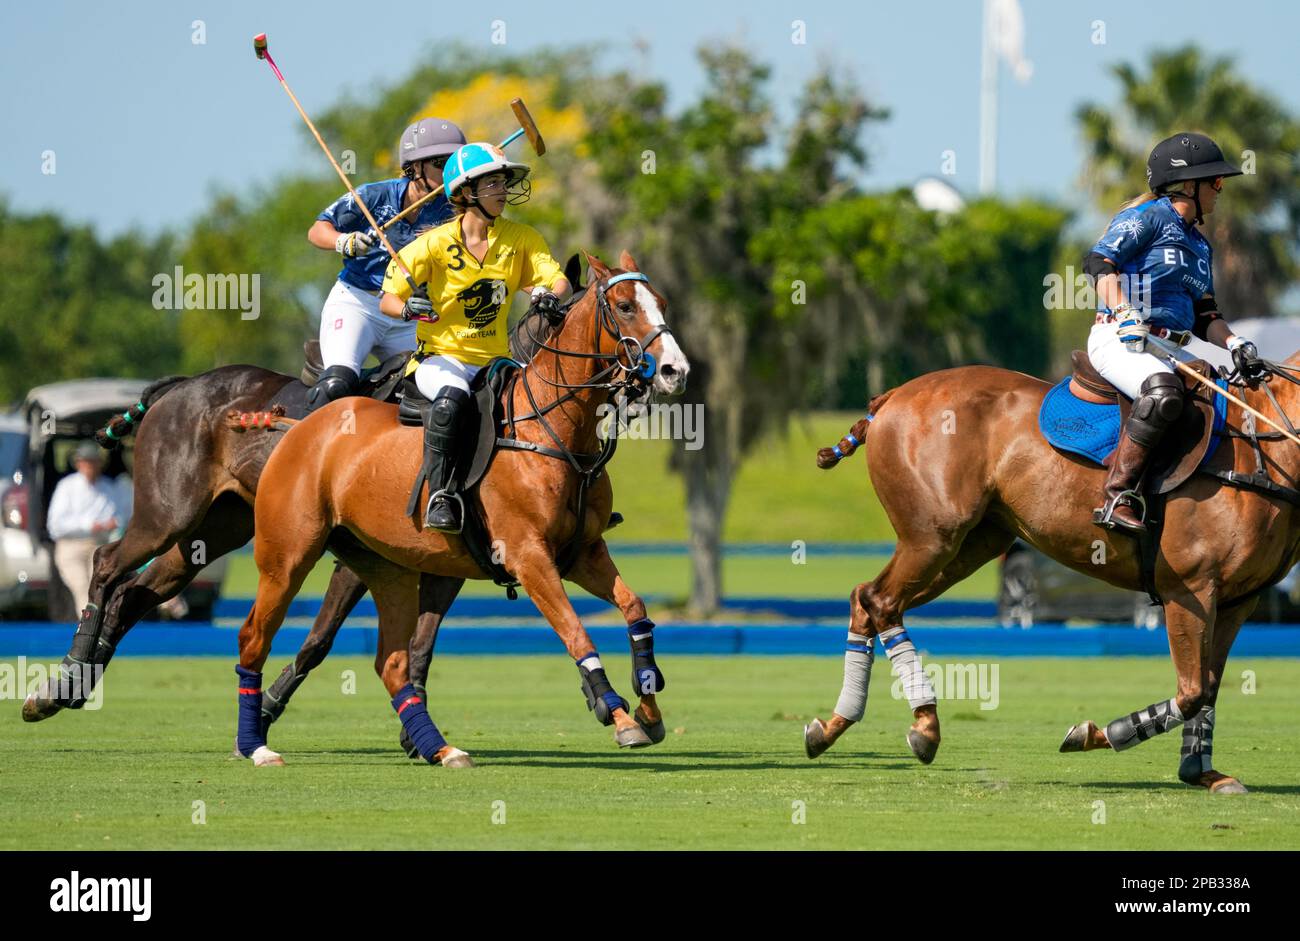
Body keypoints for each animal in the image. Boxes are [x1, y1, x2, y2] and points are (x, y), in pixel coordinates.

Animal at [231, 253, 691, 769]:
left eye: (662, 302)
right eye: (626, 306)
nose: (675, 371)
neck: (551, 428)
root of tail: (298, 425)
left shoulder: (582, 552)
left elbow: (635, 609)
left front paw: (648, 703)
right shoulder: (527, 555)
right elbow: (575, 632)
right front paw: (618, 714)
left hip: (386, 568)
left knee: (391, 660)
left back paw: (437, 746)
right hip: (287, 554)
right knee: (257, 637)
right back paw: (256, 740)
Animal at [800, 356, 1300, 790]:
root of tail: (889, 398)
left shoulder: (1238, 599)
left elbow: (1209, 689)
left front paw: (1202, 772)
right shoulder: (1189, 588)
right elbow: (1193, 690)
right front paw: (1102, 733)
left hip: (972, 545)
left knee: (866, 598)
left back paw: (831, 726)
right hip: (932, 537)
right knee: (882, 601)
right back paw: (924, 726)